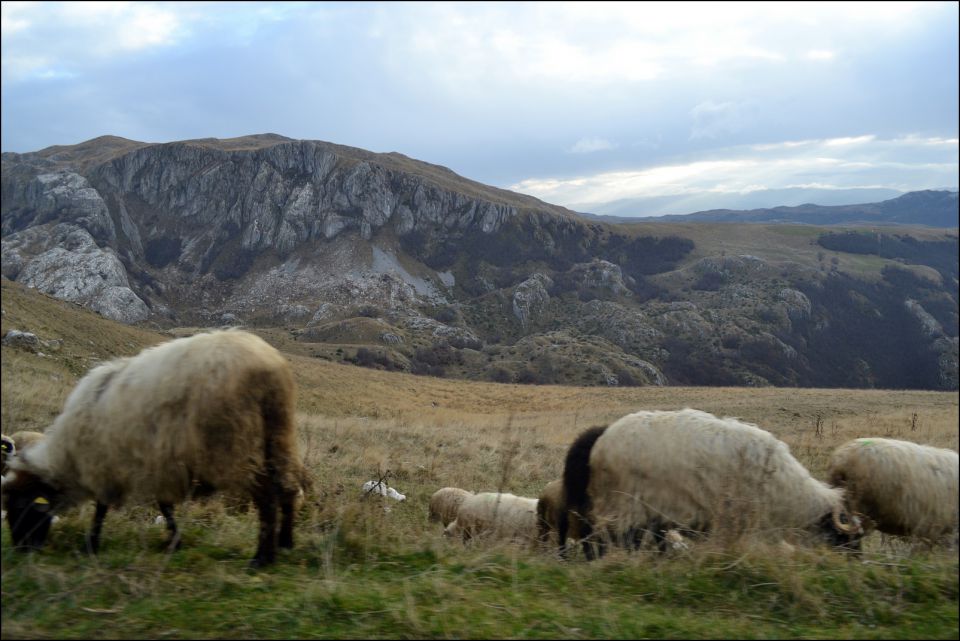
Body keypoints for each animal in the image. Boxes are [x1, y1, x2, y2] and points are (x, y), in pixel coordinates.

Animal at [1, 330, 306, 564]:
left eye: (21, 506)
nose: (21, 550)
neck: (68, 457)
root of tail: (269, 365)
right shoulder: (158, 464)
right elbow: (164, 505)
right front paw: (175, 540)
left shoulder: (108, 465)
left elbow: (103, 508)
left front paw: (92, 544)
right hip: (279, 433)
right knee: (288, 487)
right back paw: (286, 542)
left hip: (236, 445)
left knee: (266, 497)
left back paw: (262, 558)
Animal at [556, 408, 864, 556]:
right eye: (847, 538)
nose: (857, 562)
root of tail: (599, 437)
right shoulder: (737, 522)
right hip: (619, 504)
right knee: (600, 536)